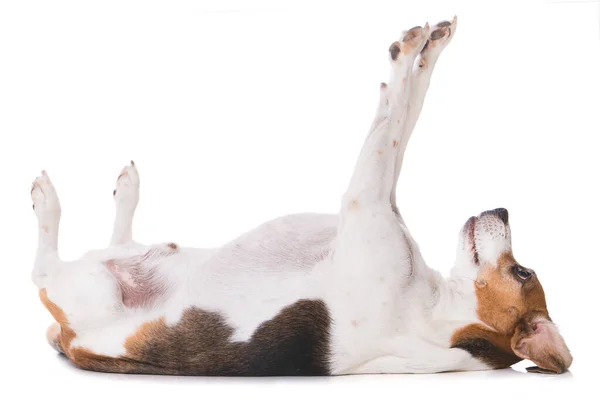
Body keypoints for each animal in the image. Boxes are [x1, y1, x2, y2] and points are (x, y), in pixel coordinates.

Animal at [31, 18, 572, 376]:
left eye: (523, 272)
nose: (502, 207)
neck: (440, 312)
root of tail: (73, 342)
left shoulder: (364, 199)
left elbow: (392, 125)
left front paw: (409, 53)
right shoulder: (383, 199)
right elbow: (405, 114)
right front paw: (429, 46)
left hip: (86, 288)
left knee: (42, 267)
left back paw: (46, 199)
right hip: (125, 258)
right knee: (119, 237)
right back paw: (127, 187)